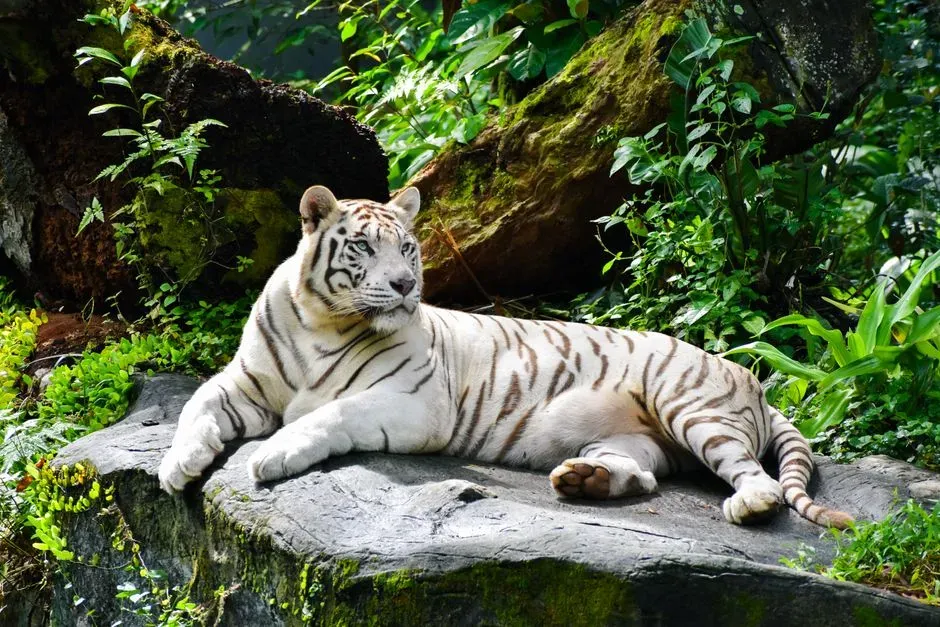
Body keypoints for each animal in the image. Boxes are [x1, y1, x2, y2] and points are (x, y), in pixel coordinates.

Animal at [158, 184, 853, 529]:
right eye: (363, 248)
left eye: (407, 248)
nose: (405, 286)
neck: (322, 321)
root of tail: (753, 379)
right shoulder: (245, 381)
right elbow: (195, 407)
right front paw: (176, 467)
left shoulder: (415, 403)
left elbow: (329, 415)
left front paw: (270, 456)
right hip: (635, 440)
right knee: (647, 474)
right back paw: (583, 480)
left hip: (691, 406)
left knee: (758, 479)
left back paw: (747, 506)